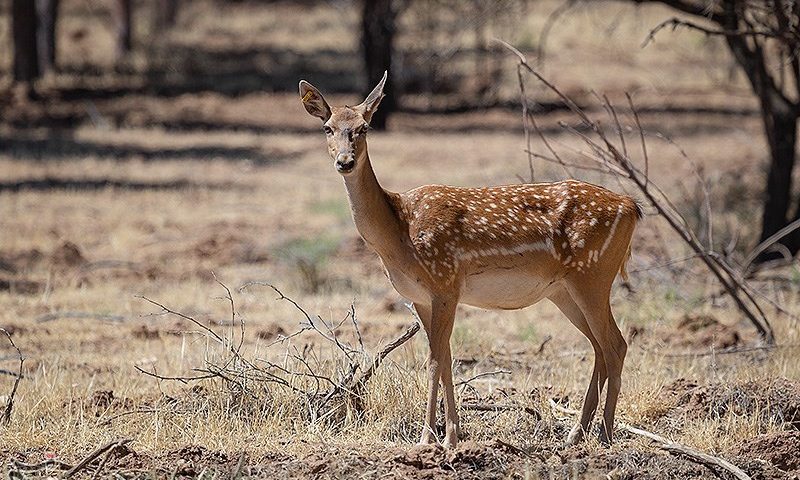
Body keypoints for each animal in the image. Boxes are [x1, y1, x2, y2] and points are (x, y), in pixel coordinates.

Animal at [300, 72, 644, 450]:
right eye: (328, 128)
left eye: (364, 128)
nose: (344, 161)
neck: (399, 232)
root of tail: (631, 206)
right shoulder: (420, 297)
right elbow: (447, 359)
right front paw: (452, 434)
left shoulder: (445, 282)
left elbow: (435, 361)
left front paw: (428, 437)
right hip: (564, 289)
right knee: (599, 346)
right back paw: (576, 433)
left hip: (593, 274)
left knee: (616, 344)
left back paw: (605, 433)